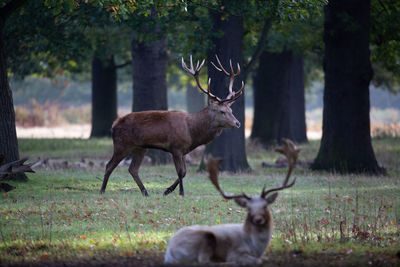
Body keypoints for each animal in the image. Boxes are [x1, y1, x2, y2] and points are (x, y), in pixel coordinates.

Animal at [100, 55, 244, 197]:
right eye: (222, 111)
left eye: (231, 110)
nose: (238, 123)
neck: (192, 132)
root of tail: (113, 125)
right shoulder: (175, 148)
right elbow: (180, 171)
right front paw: (181, 192)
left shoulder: (185, 150)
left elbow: (185, 172)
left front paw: (167, 190)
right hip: (122, 144)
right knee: (109, 165)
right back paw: (102, 190)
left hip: (140, 147)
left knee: (133, 169)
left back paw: (145, 192)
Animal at [163, 139, 300, 264]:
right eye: (248, 208)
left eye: (265, 206)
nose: (258, 219)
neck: (256, 248)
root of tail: (169, 252)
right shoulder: (236, 252)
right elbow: (254, 260)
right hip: (206, 238)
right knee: (204, 260)